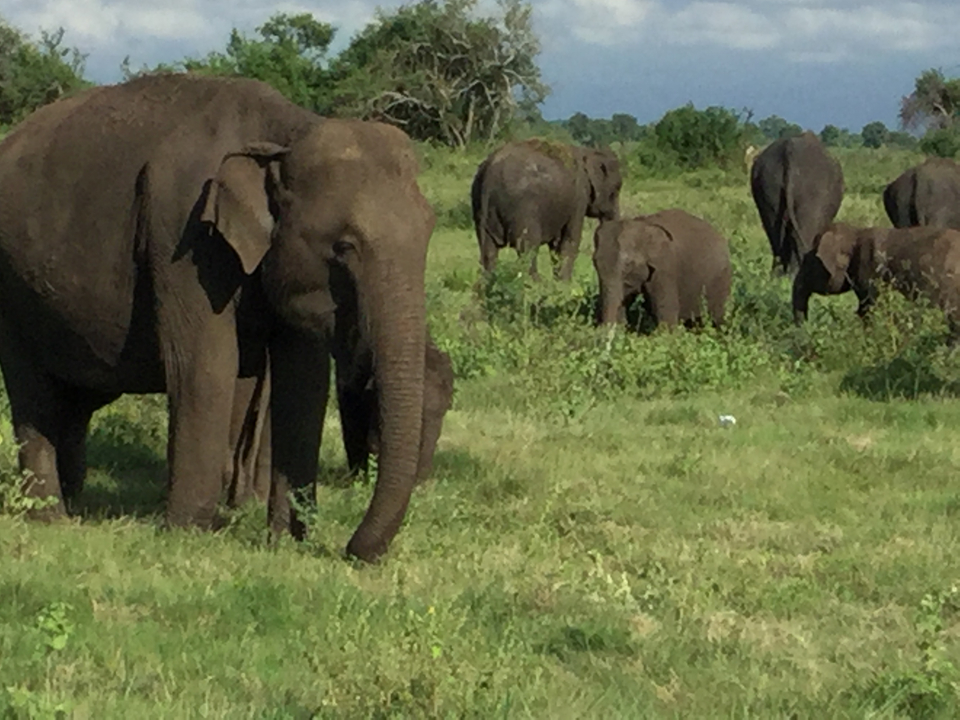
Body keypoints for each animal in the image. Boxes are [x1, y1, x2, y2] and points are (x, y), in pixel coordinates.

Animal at [471, 139, 622, 280]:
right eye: (617, 188)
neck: (588, 151)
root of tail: (489, 173)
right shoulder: (579, 197)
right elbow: (569, 241)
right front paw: (563, 285)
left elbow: (556, 245)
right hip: (523, 210)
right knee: (528, 249)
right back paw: (536, 283)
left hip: (479, 206)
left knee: (488, 252)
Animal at [592, 209, 731, 329]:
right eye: (595, 262)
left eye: (628, 264)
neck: (642, 225)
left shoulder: (665, 266)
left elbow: (667, 312)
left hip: (720, 278)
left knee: (718, 317)